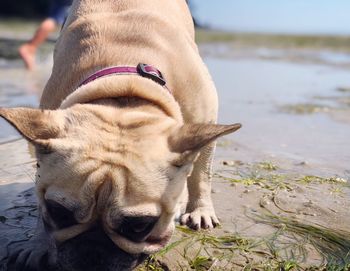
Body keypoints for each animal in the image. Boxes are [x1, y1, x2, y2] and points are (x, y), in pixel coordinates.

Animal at [0, 0, 241, 270]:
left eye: (139, 226)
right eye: (59, 212)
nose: (91, 249)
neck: (126, 93)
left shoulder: (206, 121)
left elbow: (201, 174)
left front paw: (200, 209)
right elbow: (41, 206)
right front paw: (38, 243)